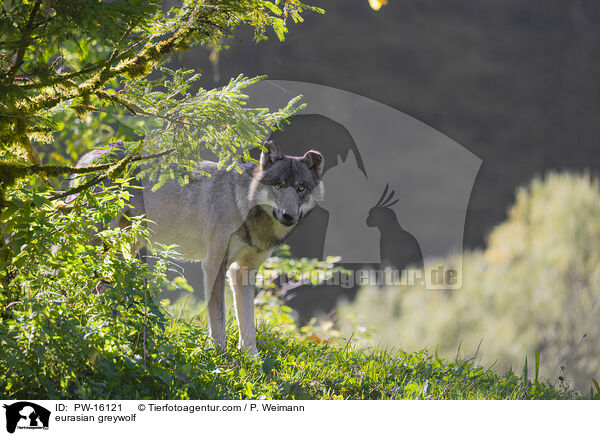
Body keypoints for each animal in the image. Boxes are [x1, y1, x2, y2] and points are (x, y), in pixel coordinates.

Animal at [74, 141, 324, 356]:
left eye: (301, 188)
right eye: (278, 185)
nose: (288, 215)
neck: (244, 207)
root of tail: (90, 156)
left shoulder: (243, 271)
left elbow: (248, 323)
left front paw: (252, 359)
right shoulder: (214, 265)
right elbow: (218, 318)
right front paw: (220, 354)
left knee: (102, 286)